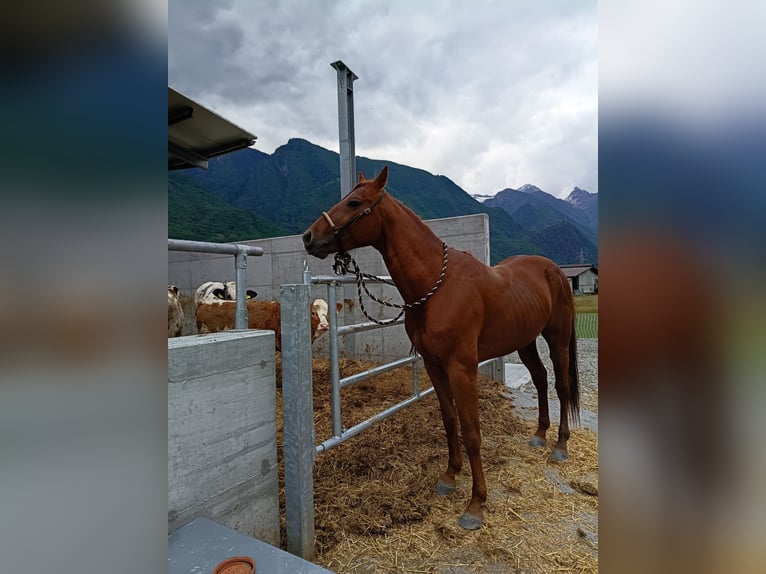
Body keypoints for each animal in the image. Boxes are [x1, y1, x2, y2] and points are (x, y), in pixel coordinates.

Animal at [302, 166, 579, 530]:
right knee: (541, 379)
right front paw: (450, 476)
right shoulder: (434, 366)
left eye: (354, 202)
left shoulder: (462, 369)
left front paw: (476, 504)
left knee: (562, 385)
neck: (437, 285)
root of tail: (555, 271)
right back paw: (540, 434)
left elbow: (472, 431)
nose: (309, 237)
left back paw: (559, 445)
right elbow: (450, 421)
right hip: (526, 341)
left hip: (557, 338)